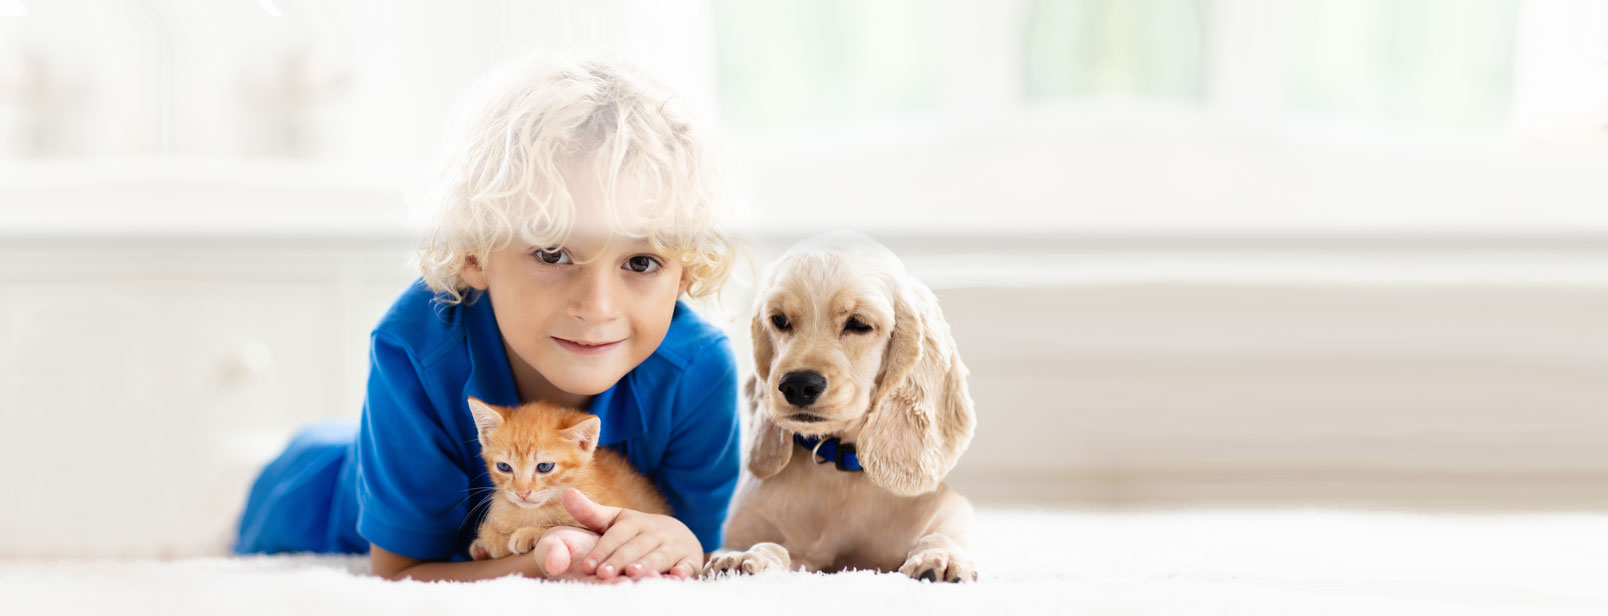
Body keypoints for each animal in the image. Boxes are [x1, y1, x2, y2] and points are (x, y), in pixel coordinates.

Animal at [466, 398, 672, 562]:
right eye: (504, 467)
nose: (522, 492)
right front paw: (486, 543)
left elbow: (565, 525)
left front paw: (530, 533)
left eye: (544, 467)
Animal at [707, 231, 977, 585]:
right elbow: (767, 544)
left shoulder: (951, 516)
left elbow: (940, 535)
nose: (797, 385)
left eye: (858, 324)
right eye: (779, 320)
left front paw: (942, 558)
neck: (838, 468)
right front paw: (745, 556)